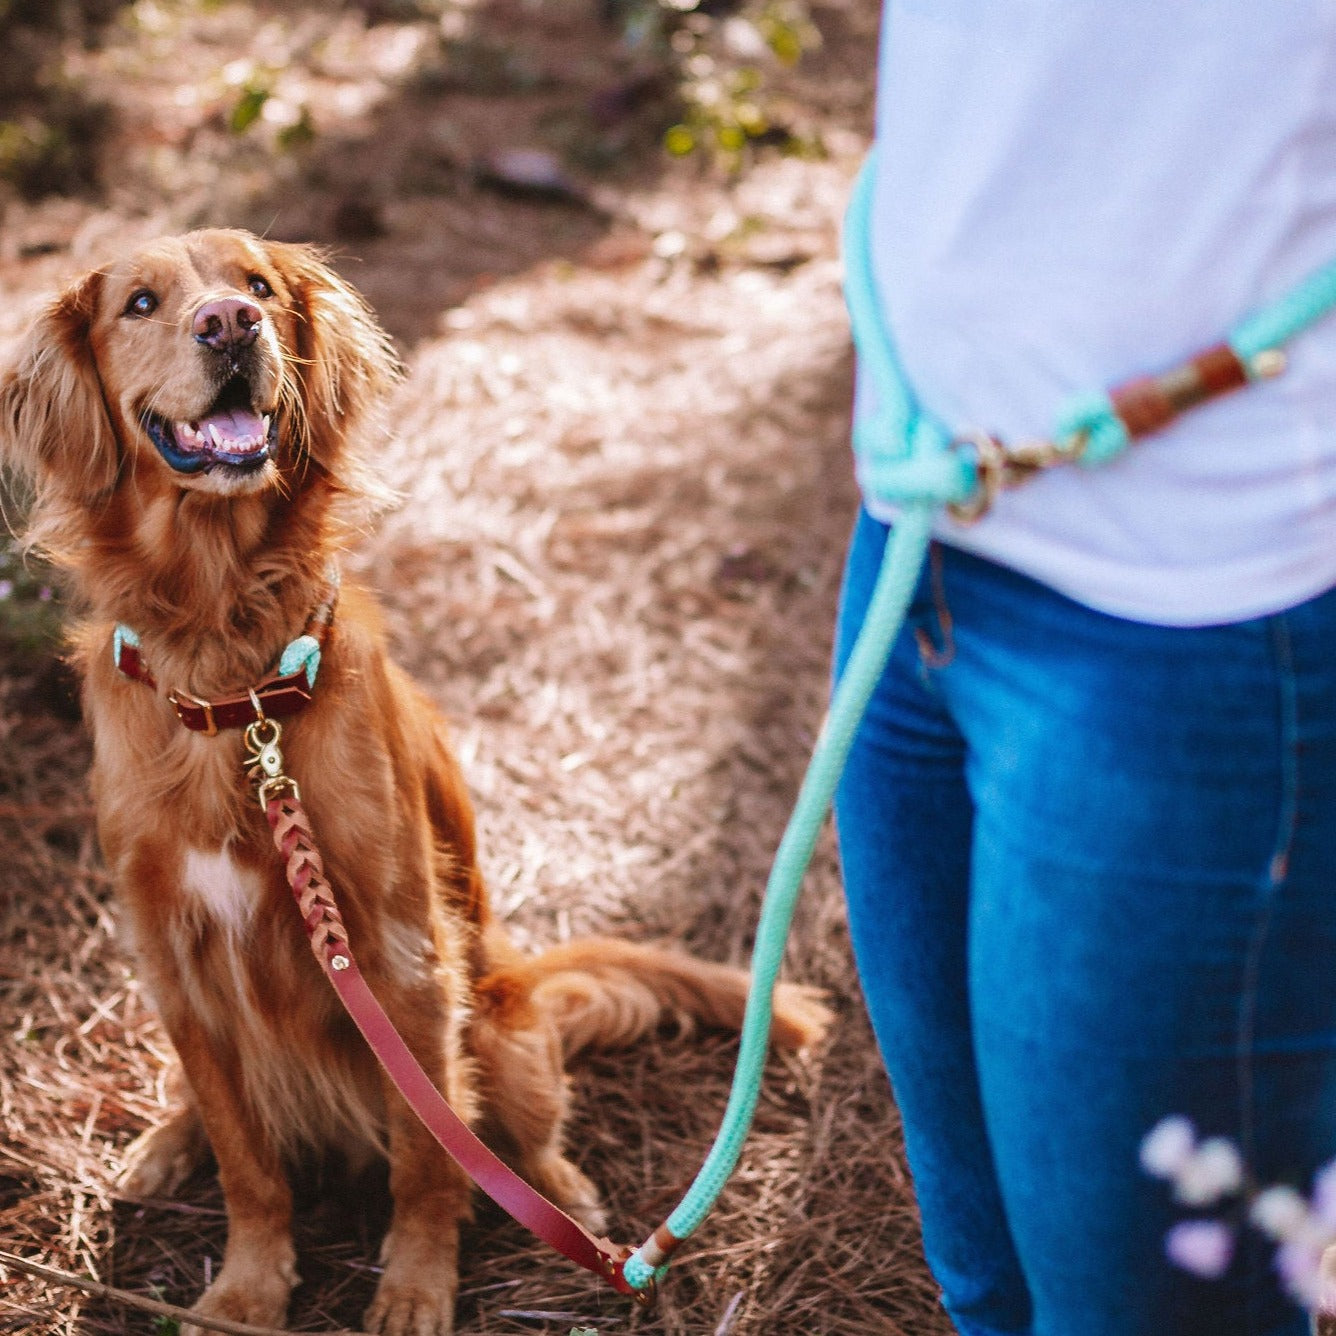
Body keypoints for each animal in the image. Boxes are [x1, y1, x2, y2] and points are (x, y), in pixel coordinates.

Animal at [0, 232, 828, 1336]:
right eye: (140, 302)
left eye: (257, 285)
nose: (229, 323)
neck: (234, 680)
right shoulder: (174, 958)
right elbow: (247, 1163)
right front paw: (248, 1285)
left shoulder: (400, 956)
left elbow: (431, 1159)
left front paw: (416, 1283)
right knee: (207, 1107)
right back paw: (163, 1142)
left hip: (498, 1019)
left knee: (520, 1124)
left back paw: (568, 1198)